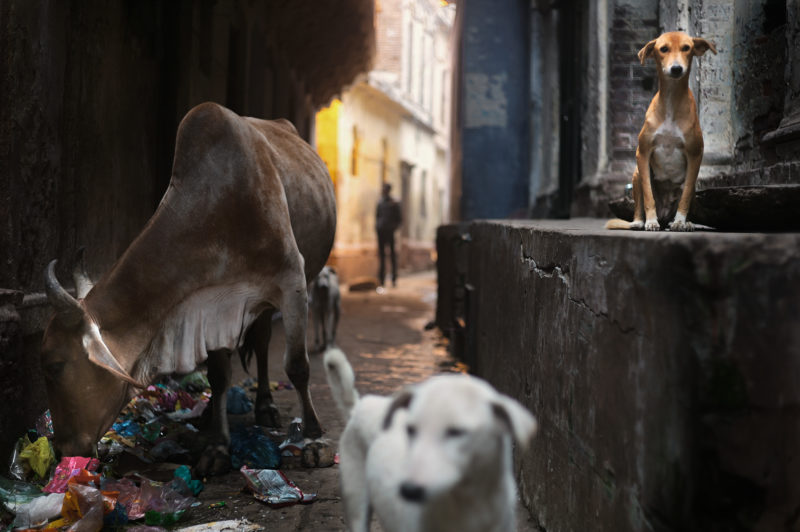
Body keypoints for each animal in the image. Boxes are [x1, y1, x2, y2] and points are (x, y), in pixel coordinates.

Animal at [41, 102, 334, 476]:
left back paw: (266, 406)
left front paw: (312, 440)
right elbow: (219, 375)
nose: (63, 450)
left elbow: (297, 366)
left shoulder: (292, 281)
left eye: (53, 366)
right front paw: (217, 447)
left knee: (264, 344)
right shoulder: (213, 307)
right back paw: (211, 416)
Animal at [608, 31, 720, 231]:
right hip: (636, 174)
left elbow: (685, 195)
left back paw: (683, 222)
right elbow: (648, 195)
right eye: (663, 49)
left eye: (686, 48)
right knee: (639, 205)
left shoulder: (695, 155)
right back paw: (640, 222)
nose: (676, 69)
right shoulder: (643, 153)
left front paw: (681, 221)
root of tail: (664, 214)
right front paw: (650, 221)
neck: (671, 100)